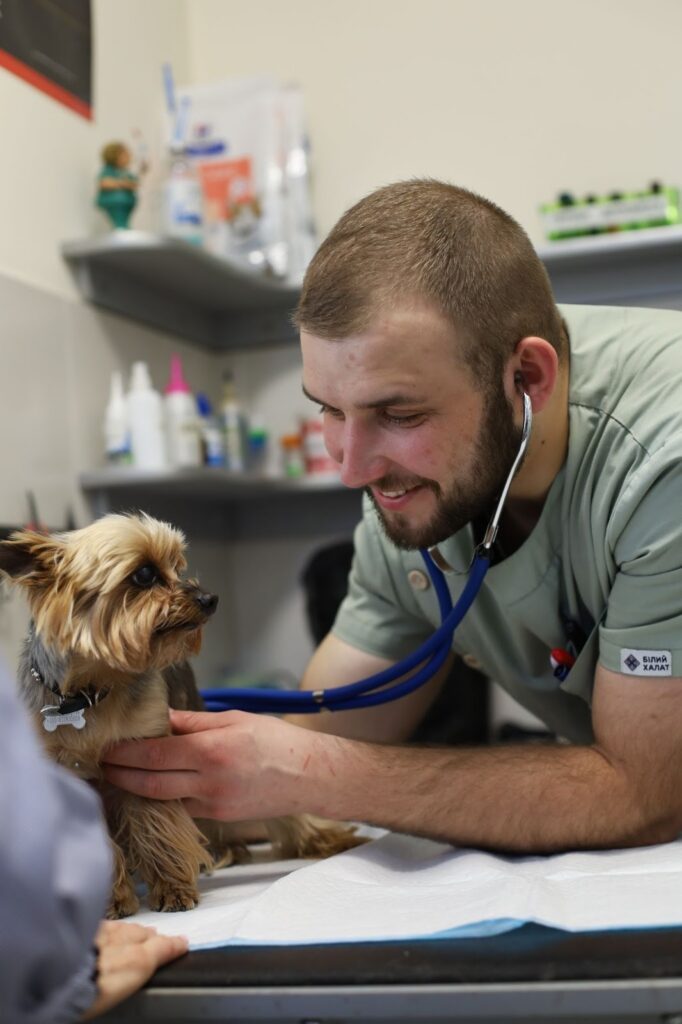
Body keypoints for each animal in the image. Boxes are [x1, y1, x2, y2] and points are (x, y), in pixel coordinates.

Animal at [0, 512, 358, 918]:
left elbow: (156, 824)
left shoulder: (145, 759)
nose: (210, 598)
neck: (88, 695)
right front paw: (112, 900)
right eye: (144, 574)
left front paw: (172, 889)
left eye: (177, 566)